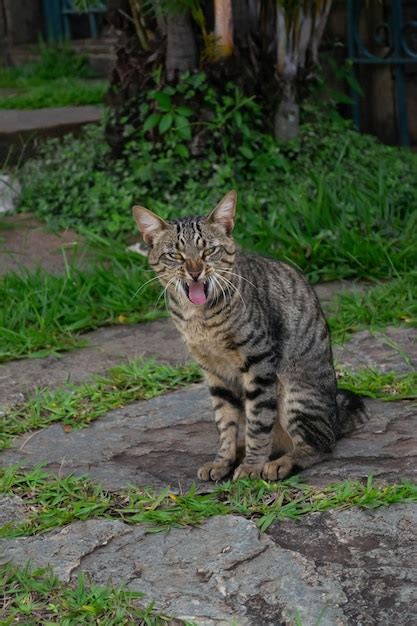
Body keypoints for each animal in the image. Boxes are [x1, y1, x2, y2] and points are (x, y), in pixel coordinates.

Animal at [132, 193, 364, 480]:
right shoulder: (213, 371)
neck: (199, 318)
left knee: (319, 445)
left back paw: (280, 463)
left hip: (297, 394)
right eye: (175, 255)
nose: (195, 272)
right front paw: (223, 460)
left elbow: (258, 421)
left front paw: (252, 466)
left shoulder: (259, 361)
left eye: (209, 251)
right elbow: (225, 422)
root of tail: (335, 417)